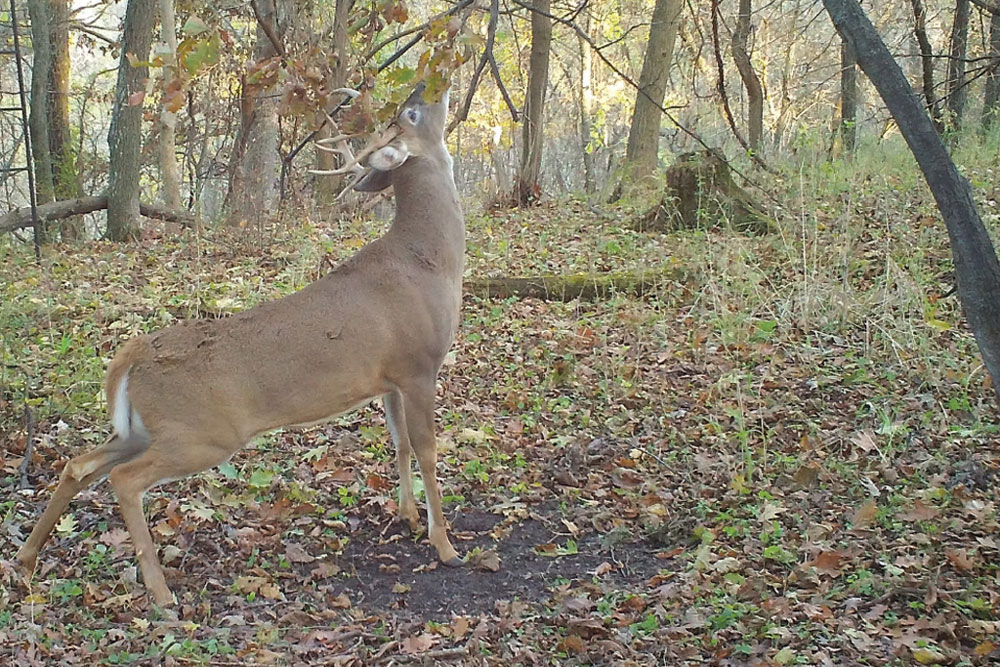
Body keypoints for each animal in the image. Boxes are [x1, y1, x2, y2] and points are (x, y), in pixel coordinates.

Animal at [15, 82, 466, 607]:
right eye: (412, 113)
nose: (430, 86)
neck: (429, 261)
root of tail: (131, 357)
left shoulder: (389, 379)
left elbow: (399, 445)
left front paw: (408, 516)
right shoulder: (419, 366)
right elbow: (428, 451)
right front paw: (444, 544)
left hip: (143, 429)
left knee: (79, 464)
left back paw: (25, 560)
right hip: (203, 434)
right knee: (123, 479)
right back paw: (160, 592)